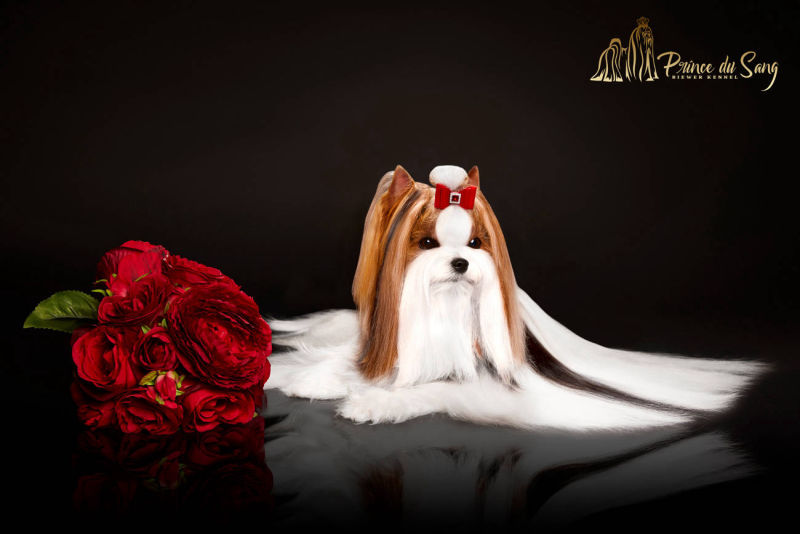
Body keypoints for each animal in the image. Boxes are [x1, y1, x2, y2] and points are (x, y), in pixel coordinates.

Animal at [265, 165, 767, 431]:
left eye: (475, 244)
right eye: (426, 243)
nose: (460, 264)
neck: (444, 307)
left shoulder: (489, 385)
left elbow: (433, 389)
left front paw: (372, 403)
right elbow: (342, 363)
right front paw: (312, 378)